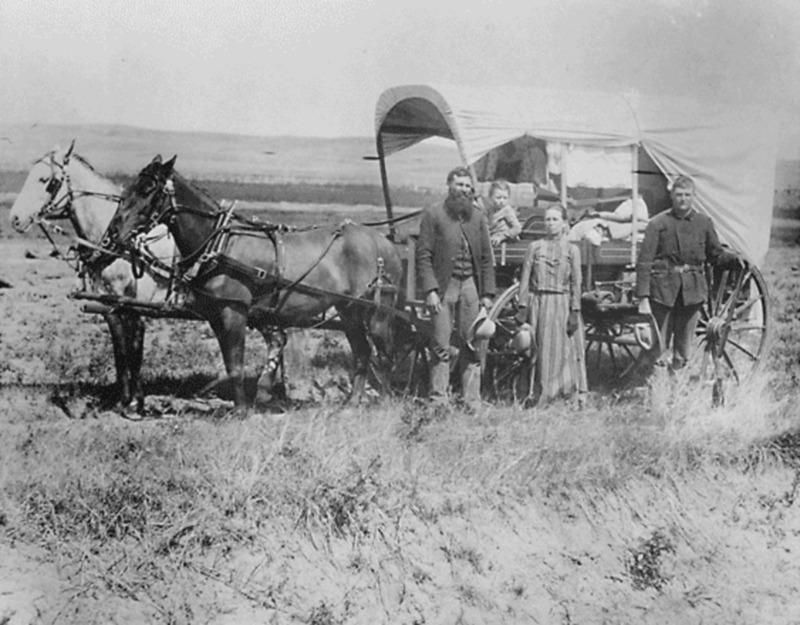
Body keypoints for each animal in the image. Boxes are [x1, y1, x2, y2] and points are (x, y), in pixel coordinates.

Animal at [104, 156, 406, 408]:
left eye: (149, 188)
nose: (113, 233)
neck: (220, 243)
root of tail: (384, 243)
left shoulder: (234, 312)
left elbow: (236, 365)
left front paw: (242, 411)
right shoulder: (217, 315)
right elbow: (230, 364)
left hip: (379, 312)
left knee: (386, 356)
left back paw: (386, 405)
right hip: (349, 311)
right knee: (362, 353)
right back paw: (352, 404)